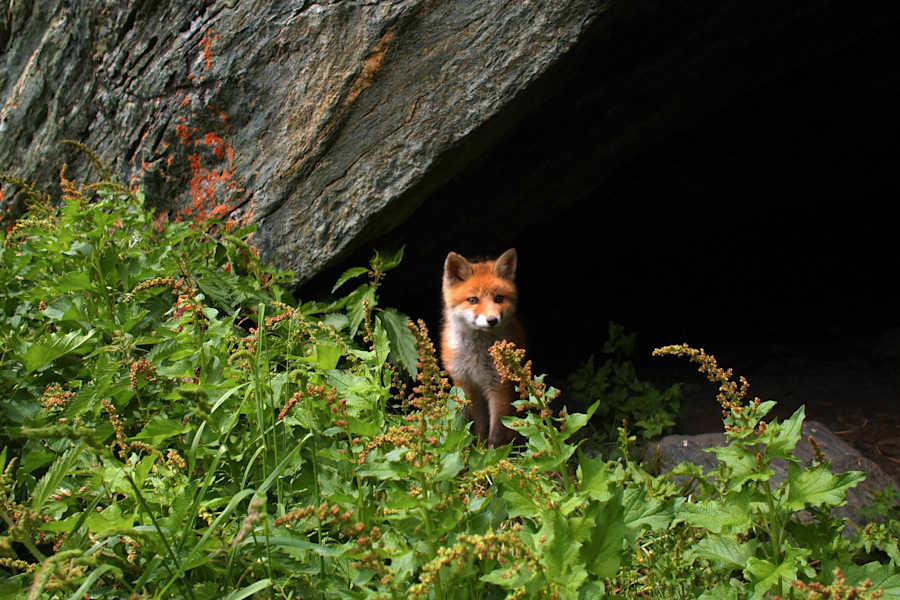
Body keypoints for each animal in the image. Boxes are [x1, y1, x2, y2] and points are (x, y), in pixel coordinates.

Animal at [441, 248, 526, 447]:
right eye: (473, 300)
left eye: (499, 298)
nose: (492, 320)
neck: (476, 358)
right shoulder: (467, 385)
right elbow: (478, 423)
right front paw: (478, 446)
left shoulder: (499, 386)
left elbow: (497, 430)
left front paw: (492, 452)